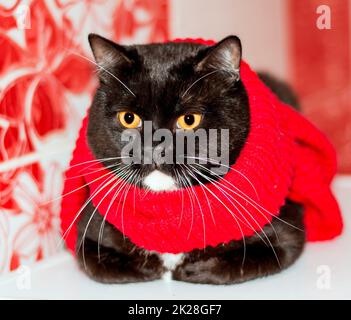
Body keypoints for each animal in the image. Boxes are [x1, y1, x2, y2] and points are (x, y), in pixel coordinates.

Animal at [76, 34, 306, 284]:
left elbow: (247, 259)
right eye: (128, 118)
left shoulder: (285, 235)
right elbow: (96, 263)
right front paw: (153, 269)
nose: (155, 147)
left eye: (189, 119)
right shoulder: (87, 234)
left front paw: (190, 270)